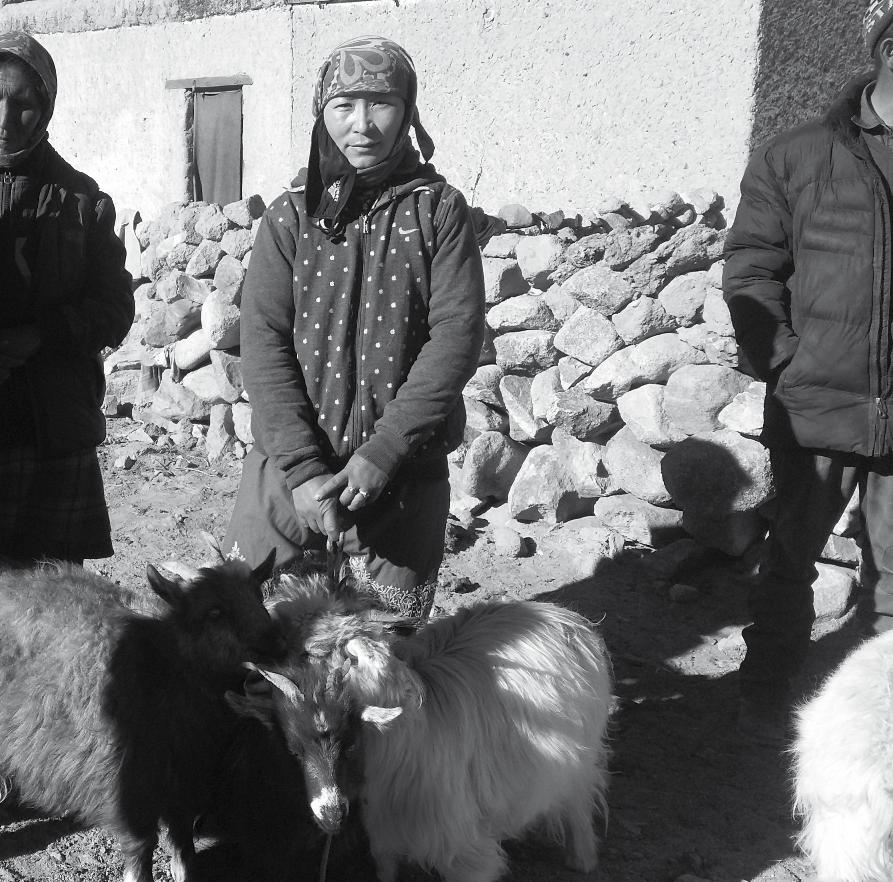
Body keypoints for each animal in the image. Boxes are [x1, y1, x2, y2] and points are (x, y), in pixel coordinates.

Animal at [240, 576, 608, 880]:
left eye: (309, 652)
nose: (249, 678)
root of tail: (563, 616)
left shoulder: (463, 851)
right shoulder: (383, 837)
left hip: (581, 754)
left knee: (579, 798)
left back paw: (583, 858)